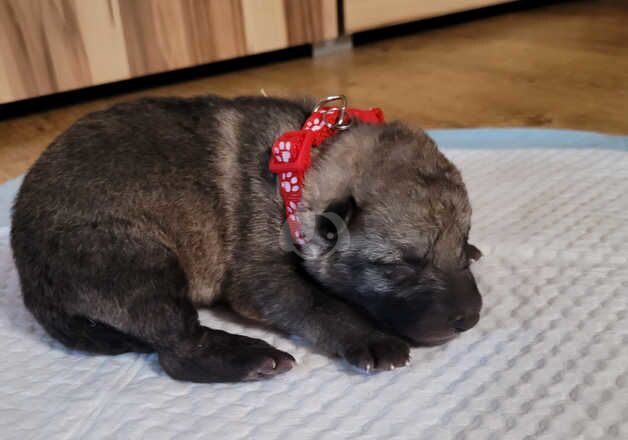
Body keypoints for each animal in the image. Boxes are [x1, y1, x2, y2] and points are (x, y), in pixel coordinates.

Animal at [9, 95, 484, 382]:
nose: (470, 318)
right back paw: (251, 358)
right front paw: (369, 337)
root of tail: (31, 284)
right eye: (402, 264)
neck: (306, 161)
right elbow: (319, 303)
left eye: (460, 242)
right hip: (136, 260)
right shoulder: (261, 275)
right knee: (176, 347)